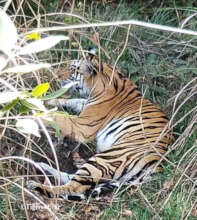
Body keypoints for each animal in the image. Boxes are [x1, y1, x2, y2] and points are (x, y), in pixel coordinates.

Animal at [27, 48, 174, 201]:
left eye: (72, 68)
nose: (54, 74)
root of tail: (157, 165)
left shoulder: (83, 125)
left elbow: (59, 117)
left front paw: (33, 114)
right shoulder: (85, 105)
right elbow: (73, 100)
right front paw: (48, 101)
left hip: (106, 158)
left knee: (73, 188)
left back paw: (36, 185)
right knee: (72, 179)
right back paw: (41, 165)